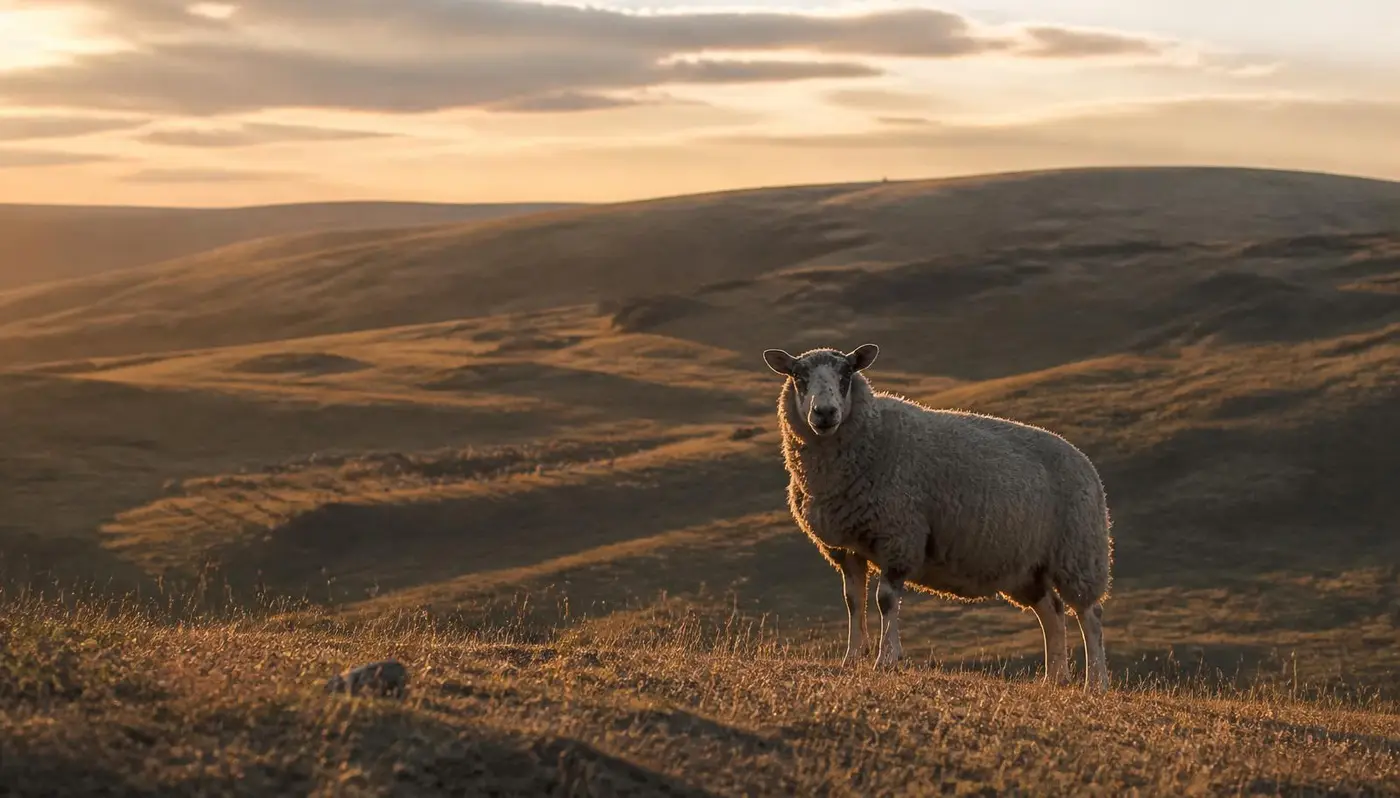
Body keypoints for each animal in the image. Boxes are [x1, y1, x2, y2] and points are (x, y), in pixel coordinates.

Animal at [761, 343, 1114, 691]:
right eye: (799, 376)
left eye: (847, 374)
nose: (825, 413)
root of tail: (1086, 463)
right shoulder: (844, 547)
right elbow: (853, 601)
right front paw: (852, 659)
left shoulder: (900, 537)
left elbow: (885, 600)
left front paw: (886, 660)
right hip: (1027, 567)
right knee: (1052, 611)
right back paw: (1053, 679)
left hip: (1078, 552)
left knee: (1090, 615)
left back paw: (1095, 683)